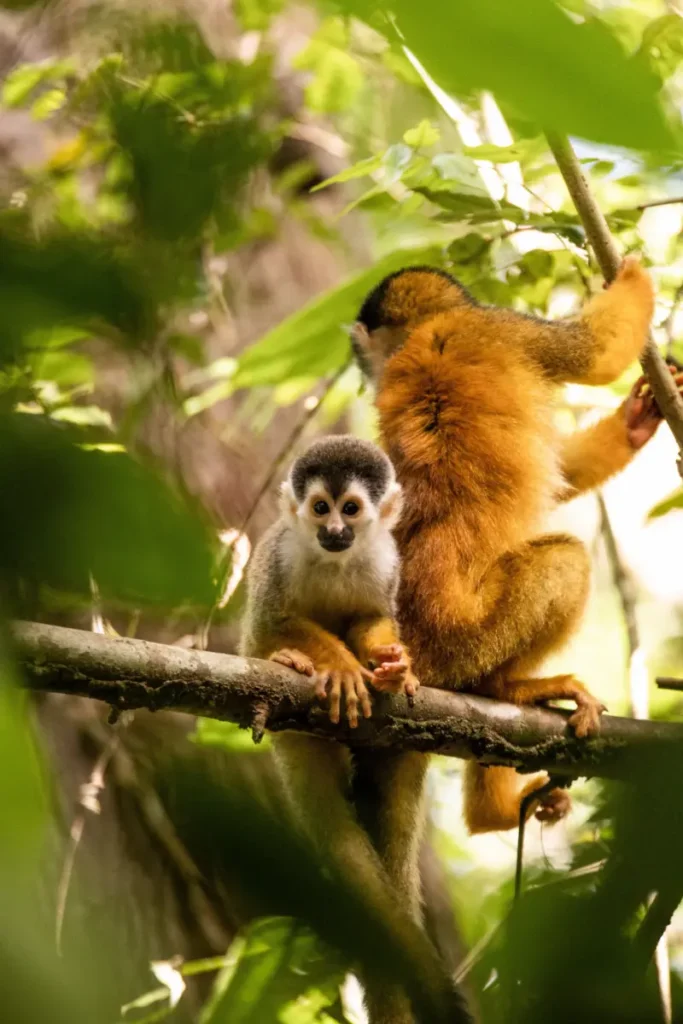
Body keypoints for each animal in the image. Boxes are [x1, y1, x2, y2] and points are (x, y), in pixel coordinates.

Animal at [239, 435, 471, 1024]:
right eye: (320, 508)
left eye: (350, 509)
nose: (335, 532)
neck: (334, 559)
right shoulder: (280, 558)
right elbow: (274, 618)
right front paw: (340, 668)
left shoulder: (387, 561)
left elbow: (372, 616)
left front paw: (392, 663)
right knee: (260, 635)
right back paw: (292, 662)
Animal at [350, 256, 666, 840]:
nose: (365, 373)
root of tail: (413, 646)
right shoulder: (500, 326)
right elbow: (594, 353)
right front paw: (631, 275)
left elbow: (561, 469)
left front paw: (633, 425)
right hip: (467, 638)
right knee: (565, 559)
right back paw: (506, 691)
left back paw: (490, 810)